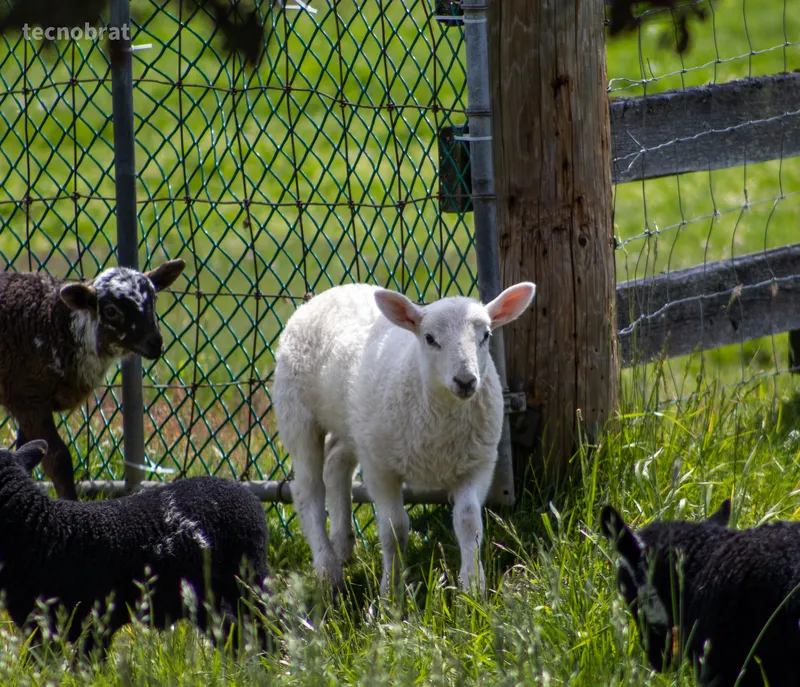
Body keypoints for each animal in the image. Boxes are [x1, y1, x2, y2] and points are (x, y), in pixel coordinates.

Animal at [0, 258, 186, 500]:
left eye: (154, 300)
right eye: (110, 311)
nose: (156, 342)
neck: (55, 323)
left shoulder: (28, 400)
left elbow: (28, 452)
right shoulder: (27, 397)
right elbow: (58, 459)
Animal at [0, 439, 272, 660]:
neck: (41, 524)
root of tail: (248, 498)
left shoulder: (84, 617)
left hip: (245, 580)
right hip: (214, 595)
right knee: (239, 633)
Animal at [272, 281, 536, 596]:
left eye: (486, 336)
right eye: (430, 338)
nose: (466, 381)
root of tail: (331, 291)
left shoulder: (478, 464)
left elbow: (469, 521)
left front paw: (473, 586)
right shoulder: (381, 468)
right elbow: (394, 529)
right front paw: (392, 590)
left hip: (353, 423)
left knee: (336, 464)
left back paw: (343, 545)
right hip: (298, 415)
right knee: (308, 491)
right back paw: (328, 570)